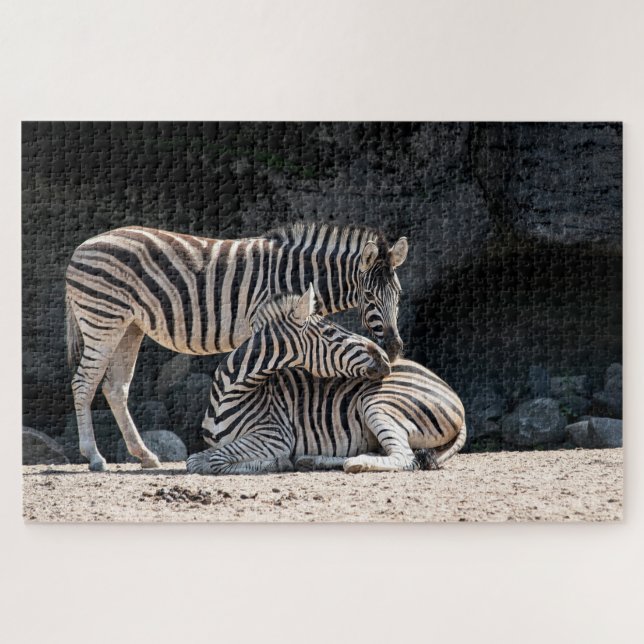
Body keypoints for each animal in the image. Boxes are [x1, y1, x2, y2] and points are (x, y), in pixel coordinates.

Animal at [65, 222, 407, 470]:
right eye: (369, 296)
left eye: (399, 294)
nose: (393, 349)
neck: (298, 274)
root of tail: (81, 247)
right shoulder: (265, 323)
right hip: (103, 318)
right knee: (84, 383)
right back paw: (94, 457)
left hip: (129, 326)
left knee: (115, 387)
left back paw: (145, 455)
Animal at [187, 290, 466, 476]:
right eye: (332, 332)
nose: (387, 358)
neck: (231, 392)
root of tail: (455, 397)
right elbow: (196, 460)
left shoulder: (274, 435)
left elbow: (212, 461)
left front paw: (277, 462)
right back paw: (312, 461)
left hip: (379, 403)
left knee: (405, 458)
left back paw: (355, 463)